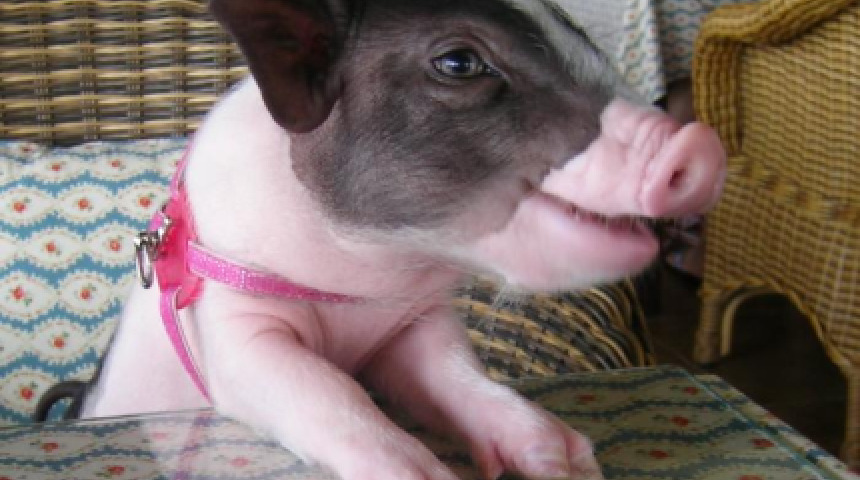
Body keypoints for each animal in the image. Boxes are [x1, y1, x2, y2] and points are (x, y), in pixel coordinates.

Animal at [39, 1, 725, 479]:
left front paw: (565, 461)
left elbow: (460, 376)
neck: (367, 280)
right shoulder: (230, 322)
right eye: (458, 62)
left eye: (583, 41)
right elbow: (328, 391)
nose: (702, 144)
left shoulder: (416, 323)